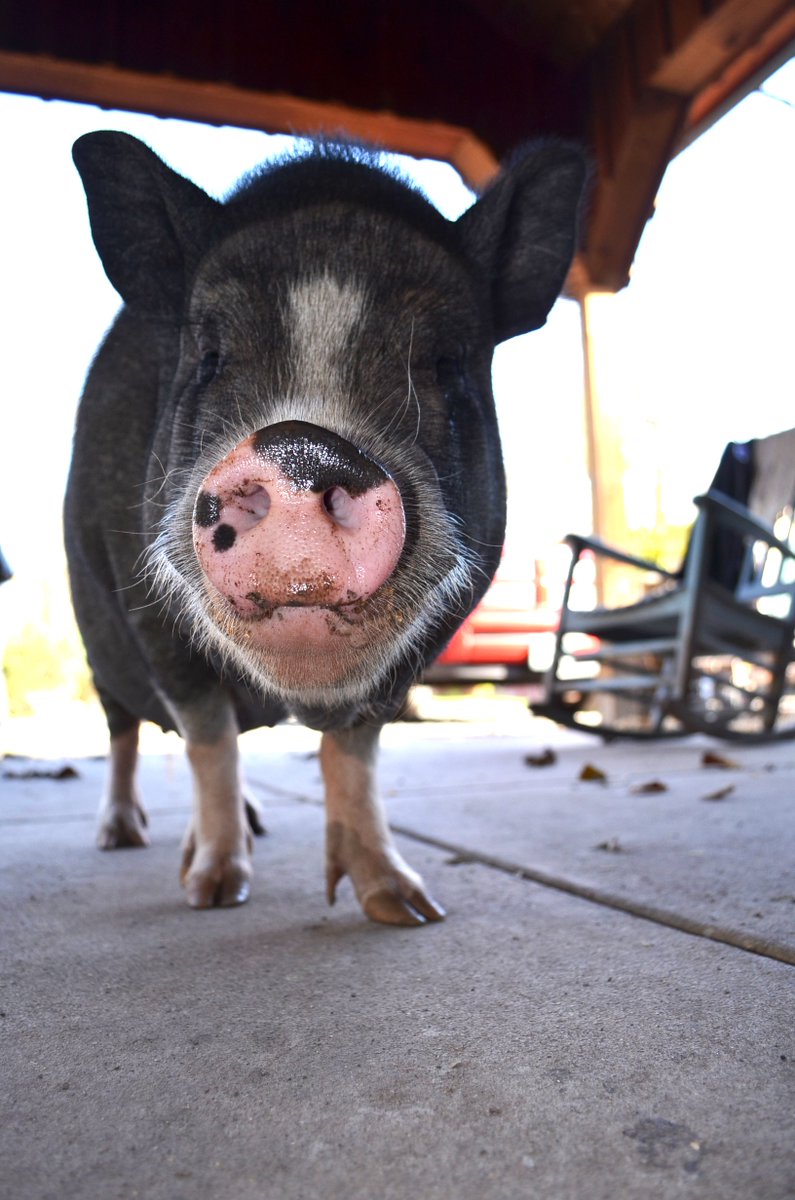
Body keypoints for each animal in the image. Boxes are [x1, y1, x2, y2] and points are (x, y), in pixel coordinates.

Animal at [65, 133, 584, 925]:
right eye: (209, 358)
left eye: (446, 363)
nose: (301, 447)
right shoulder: (149, 615)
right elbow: (208, 737)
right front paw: (214, 894)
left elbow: (354, 751)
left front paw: (405, 909)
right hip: (99, 653)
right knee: (124, 730)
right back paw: (123, 838)